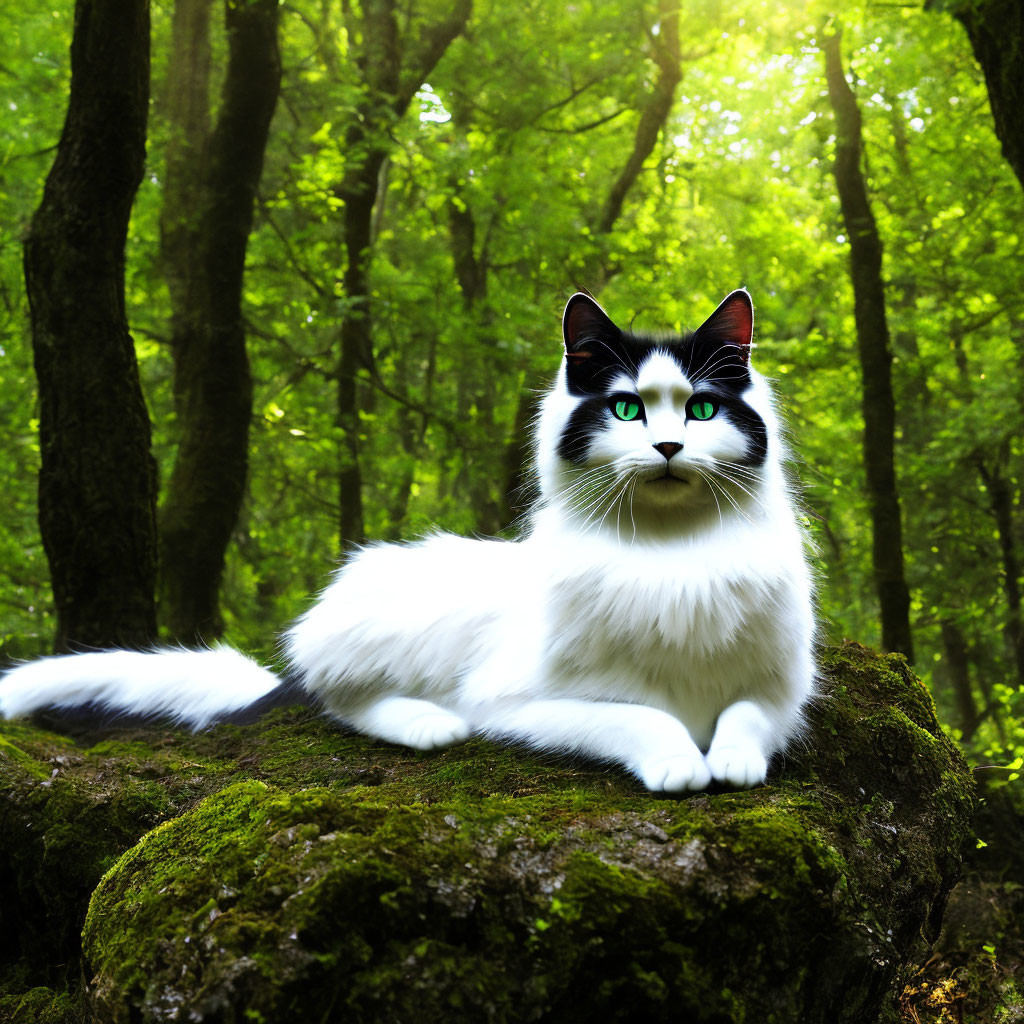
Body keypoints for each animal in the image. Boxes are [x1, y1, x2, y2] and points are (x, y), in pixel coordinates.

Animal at [0, 292, 815, 794]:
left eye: (702, 410)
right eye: (626, 410)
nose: (670, 447)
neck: (674, 556)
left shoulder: (784, 688)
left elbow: (746, 716)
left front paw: (732, 760)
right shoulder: (519, 701)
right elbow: (642, 715)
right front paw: (681, 760)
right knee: (337, 696)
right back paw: (428, 724)